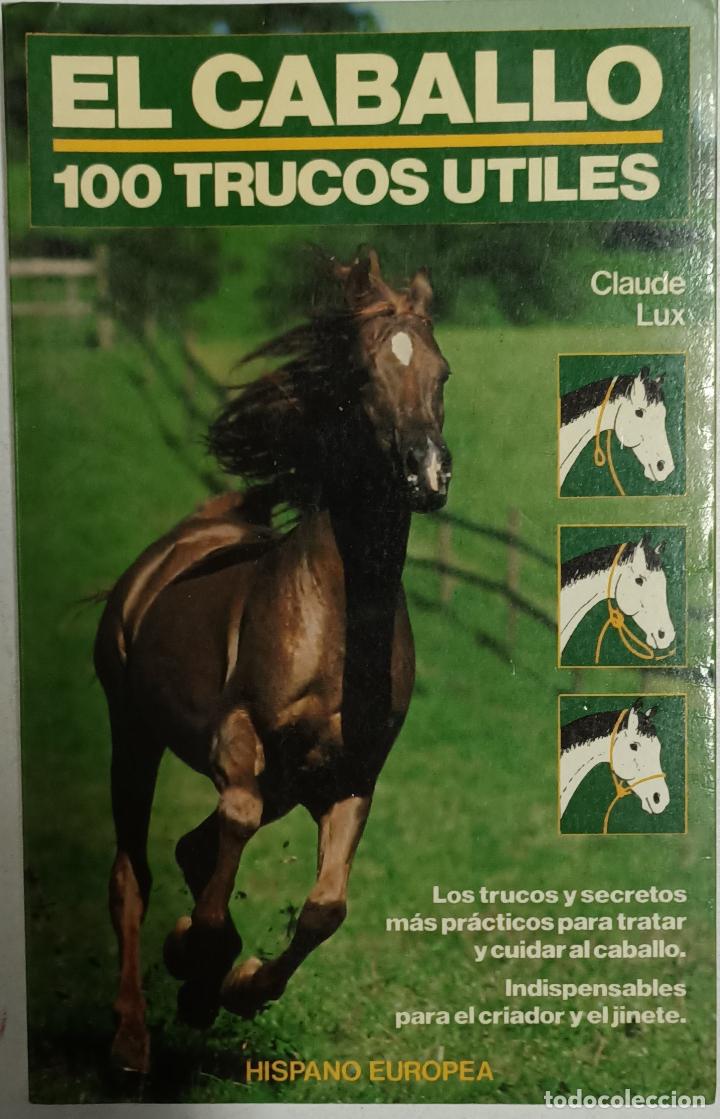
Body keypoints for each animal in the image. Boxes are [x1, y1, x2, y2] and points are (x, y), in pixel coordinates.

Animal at [94, 248, 452, 1074]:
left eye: (442, 372)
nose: (427, 472)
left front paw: (237, 983)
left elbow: (325, 908)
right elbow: (233, 826)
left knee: (191, 849)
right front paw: (199, 962)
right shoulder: (239, 740)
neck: (336, 625)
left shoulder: (348, 776)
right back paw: (131, 1036)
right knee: (134, 872)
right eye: (362, 374)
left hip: (284, 780)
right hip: (134, 731)